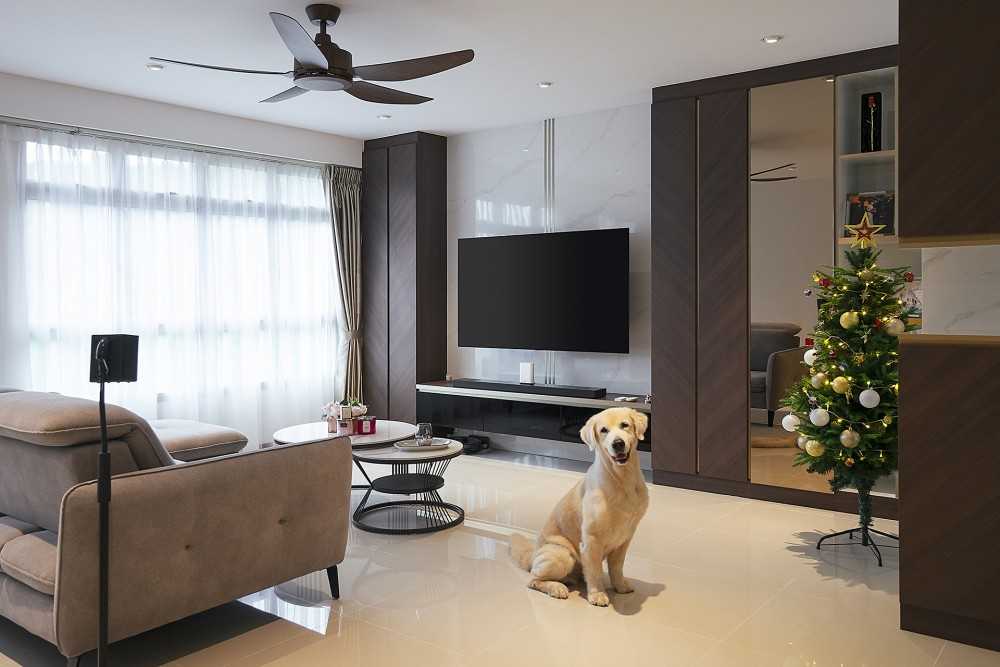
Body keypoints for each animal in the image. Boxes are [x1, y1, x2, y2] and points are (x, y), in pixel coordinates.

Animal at [516, 408, 648, 604]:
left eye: (625, 425)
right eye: (603, 430)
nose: (618, 444)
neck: (622, 480)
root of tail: (532, 556)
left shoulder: (624, 539)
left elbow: (617, 567)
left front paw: (620, 586)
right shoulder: (591, 540)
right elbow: (594, 572)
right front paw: (597, 594)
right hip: (563, 555)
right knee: (533, 579)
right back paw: (557, 587)